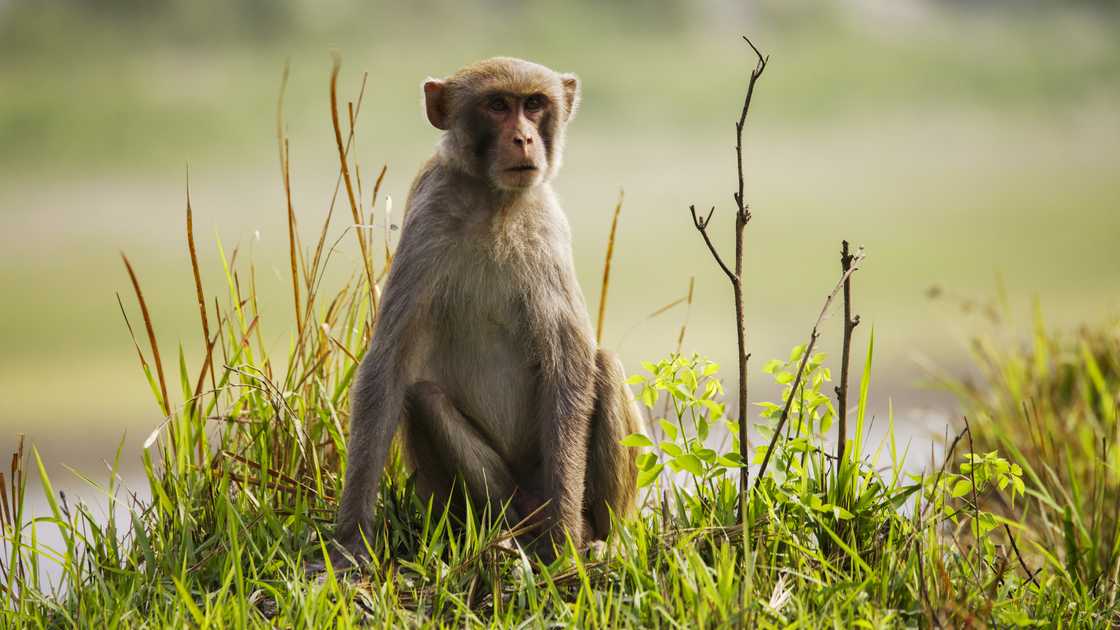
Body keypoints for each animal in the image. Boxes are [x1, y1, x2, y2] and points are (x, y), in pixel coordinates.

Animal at [320, 57, 645, 569]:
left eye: (534, 104)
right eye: (497, 105)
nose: (524, 138)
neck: (494, 202)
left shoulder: (547, 228)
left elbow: (570, 366)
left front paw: (565, 538)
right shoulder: (426, 221)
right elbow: (387, 368)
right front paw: (352, 541)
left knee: (605, 365)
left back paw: (598, 536)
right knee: (422, 397)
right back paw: (508, 533)